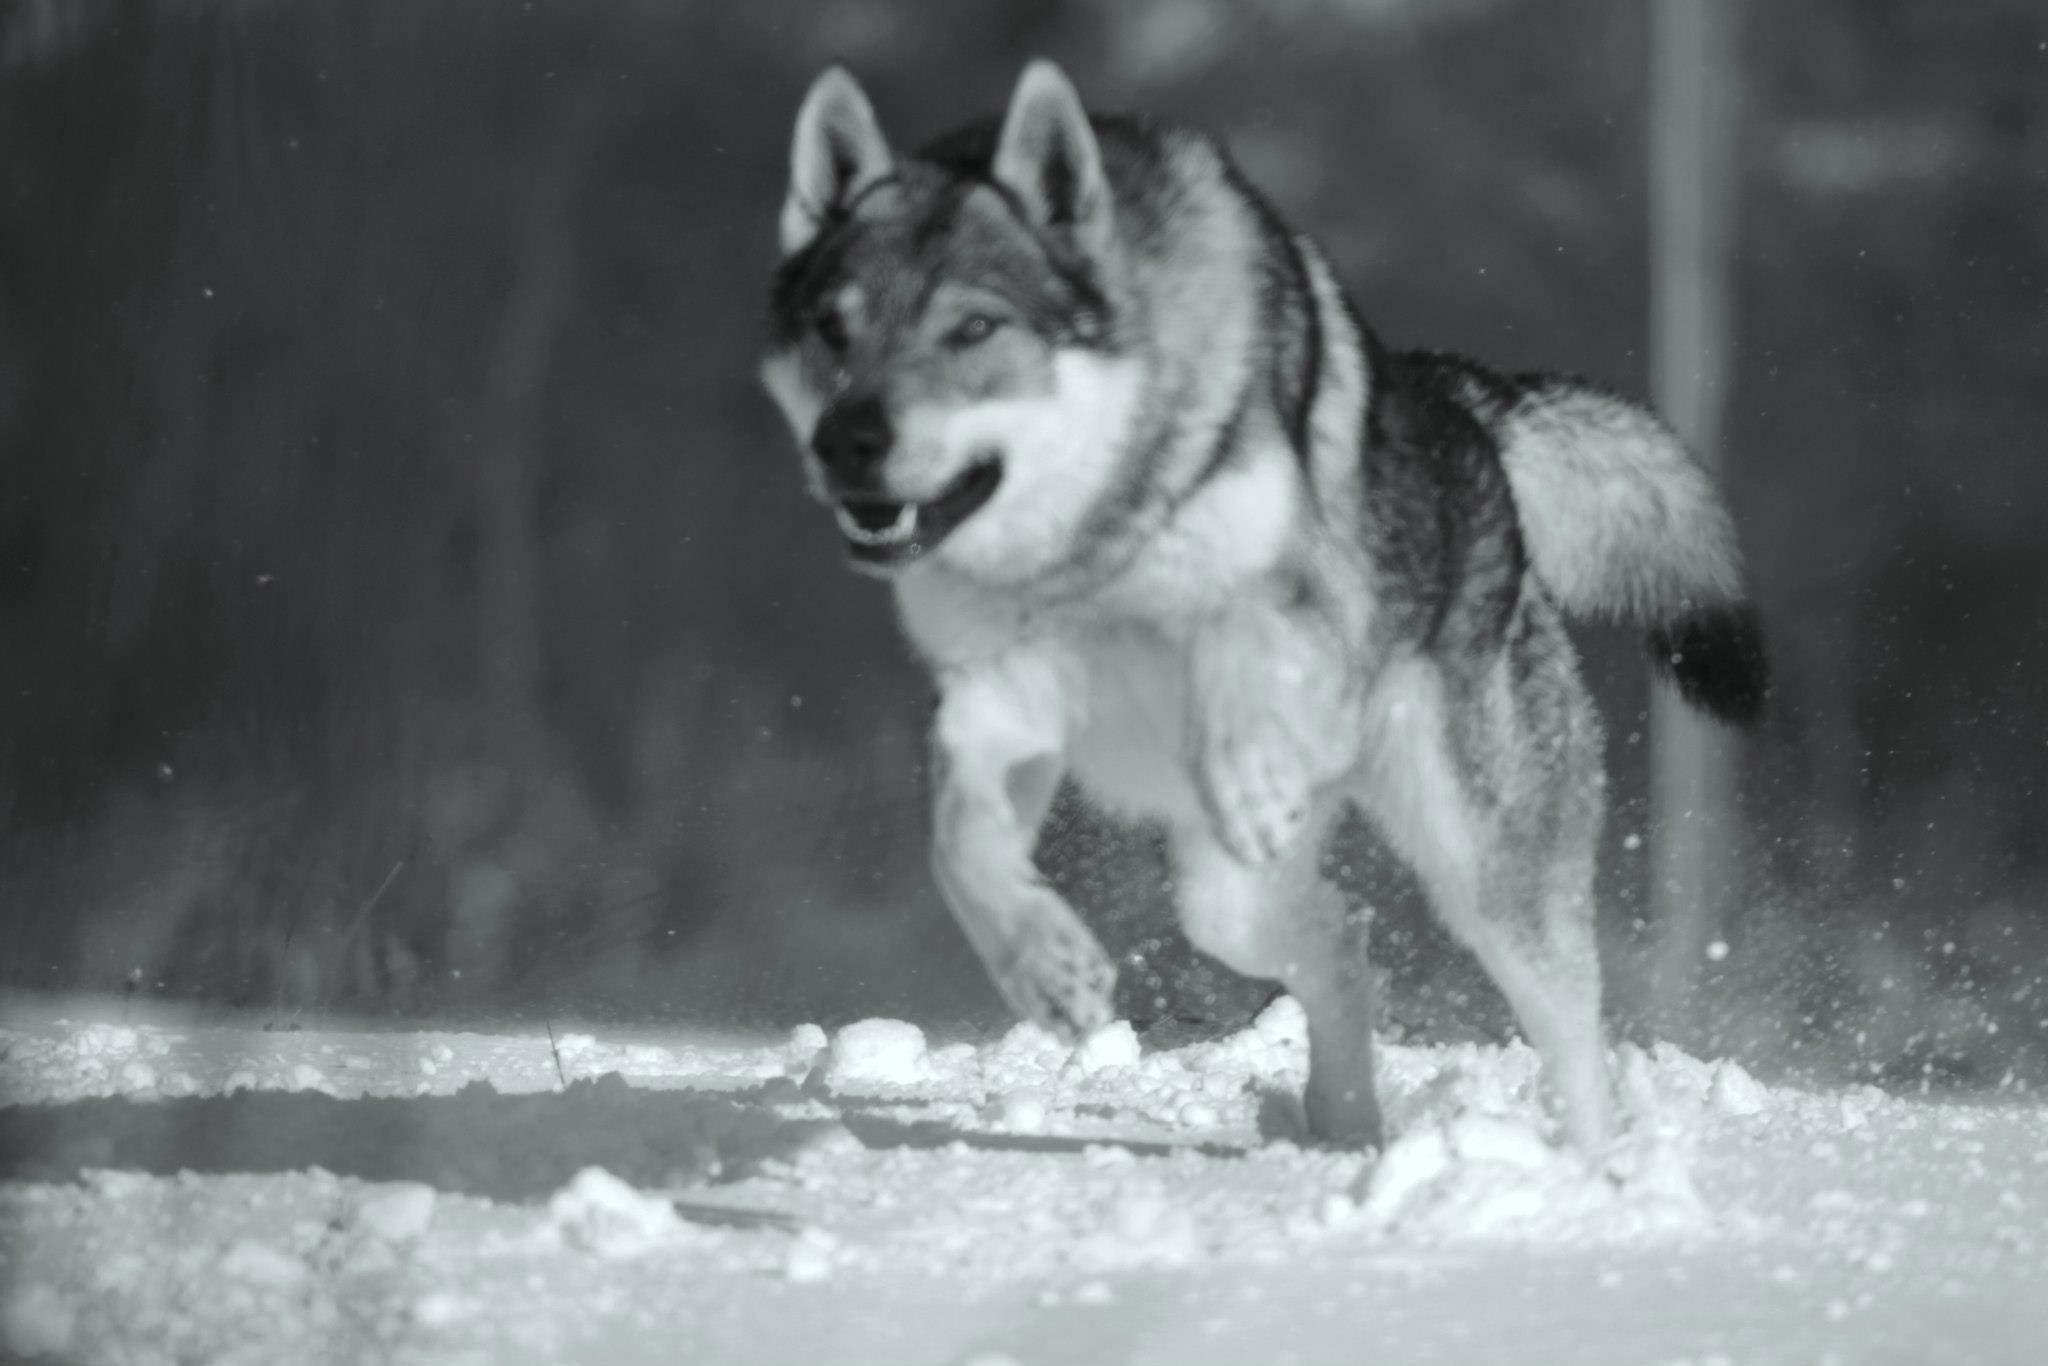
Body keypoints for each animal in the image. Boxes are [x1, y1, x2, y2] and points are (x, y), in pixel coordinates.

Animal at [759, 61, 1766, 1152]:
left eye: (973, 328)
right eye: (833, 329)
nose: (847, 441)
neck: (1092, 541)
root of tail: (1466, 408)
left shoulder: (1281, 593)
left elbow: (1229, 622)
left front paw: (1239, 758)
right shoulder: (998, 696)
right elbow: (958, 846)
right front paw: (1046, 965)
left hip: (1475, 864)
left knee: (1569, 1025)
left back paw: (1587, 1168)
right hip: (1225, 897)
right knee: (1340, 936)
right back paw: (1344, 1120)